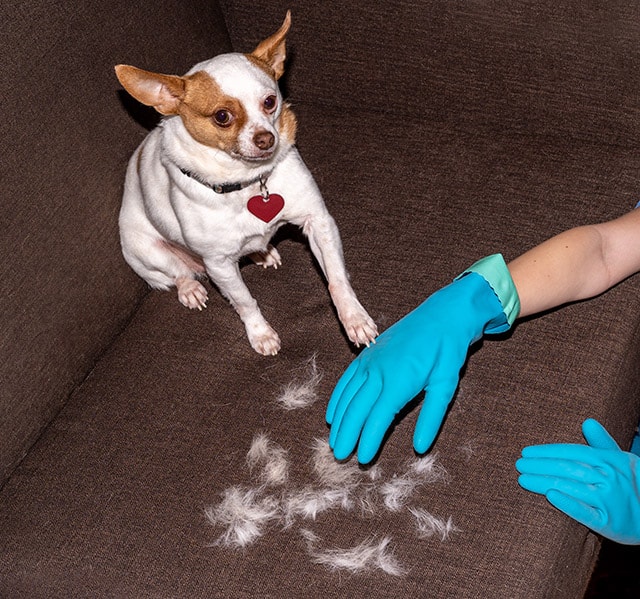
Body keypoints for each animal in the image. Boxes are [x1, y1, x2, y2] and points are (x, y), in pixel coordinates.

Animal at [115, 12, 378, 356]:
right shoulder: (219, 265)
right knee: (177, 274)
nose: (266, 138)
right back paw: (191, 289)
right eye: (222, 116)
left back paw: (263, 253)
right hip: (148, 255)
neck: (248, 182)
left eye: (270, 101)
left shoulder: (319, 223)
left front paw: (354, 319)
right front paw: (260, 334)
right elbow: (244, 301)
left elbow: (336, 279)